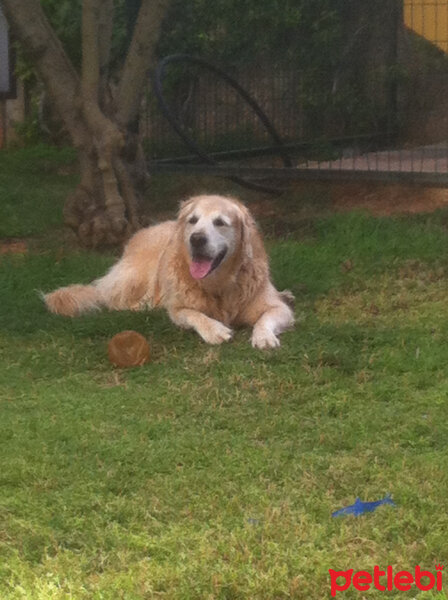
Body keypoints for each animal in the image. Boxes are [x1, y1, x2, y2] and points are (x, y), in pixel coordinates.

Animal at [45, 195, 294, 350]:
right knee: (115, 299)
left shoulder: (276, 308)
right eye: (193, 220)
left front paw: (264, 337)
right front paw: (214, 330)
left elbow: (266, 317)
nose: (196, 238)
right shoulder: (179, 309)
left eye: (220, 222)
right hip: (134, 279)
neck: (219, 285)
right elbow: (195, 315)